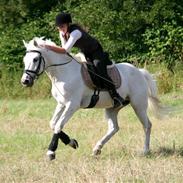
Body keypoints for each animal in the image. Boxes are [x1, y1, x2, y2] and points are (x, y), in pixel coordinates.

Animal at [21, 37, 163, 160]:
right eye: (24, 60)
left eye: (35, 59)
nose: (25, 81)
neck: (63, 72)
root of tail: (139, 72)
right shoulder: (61, 104)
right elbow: (53, 124)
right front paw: (72, 142)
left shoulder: (72, 105)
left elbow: (58, 125)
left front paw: (51, 152)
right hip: (112, 107)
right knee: (114, 128)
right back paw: (97, 149)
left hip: (138, 105)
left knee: (147, 125)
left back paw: (145, 150)